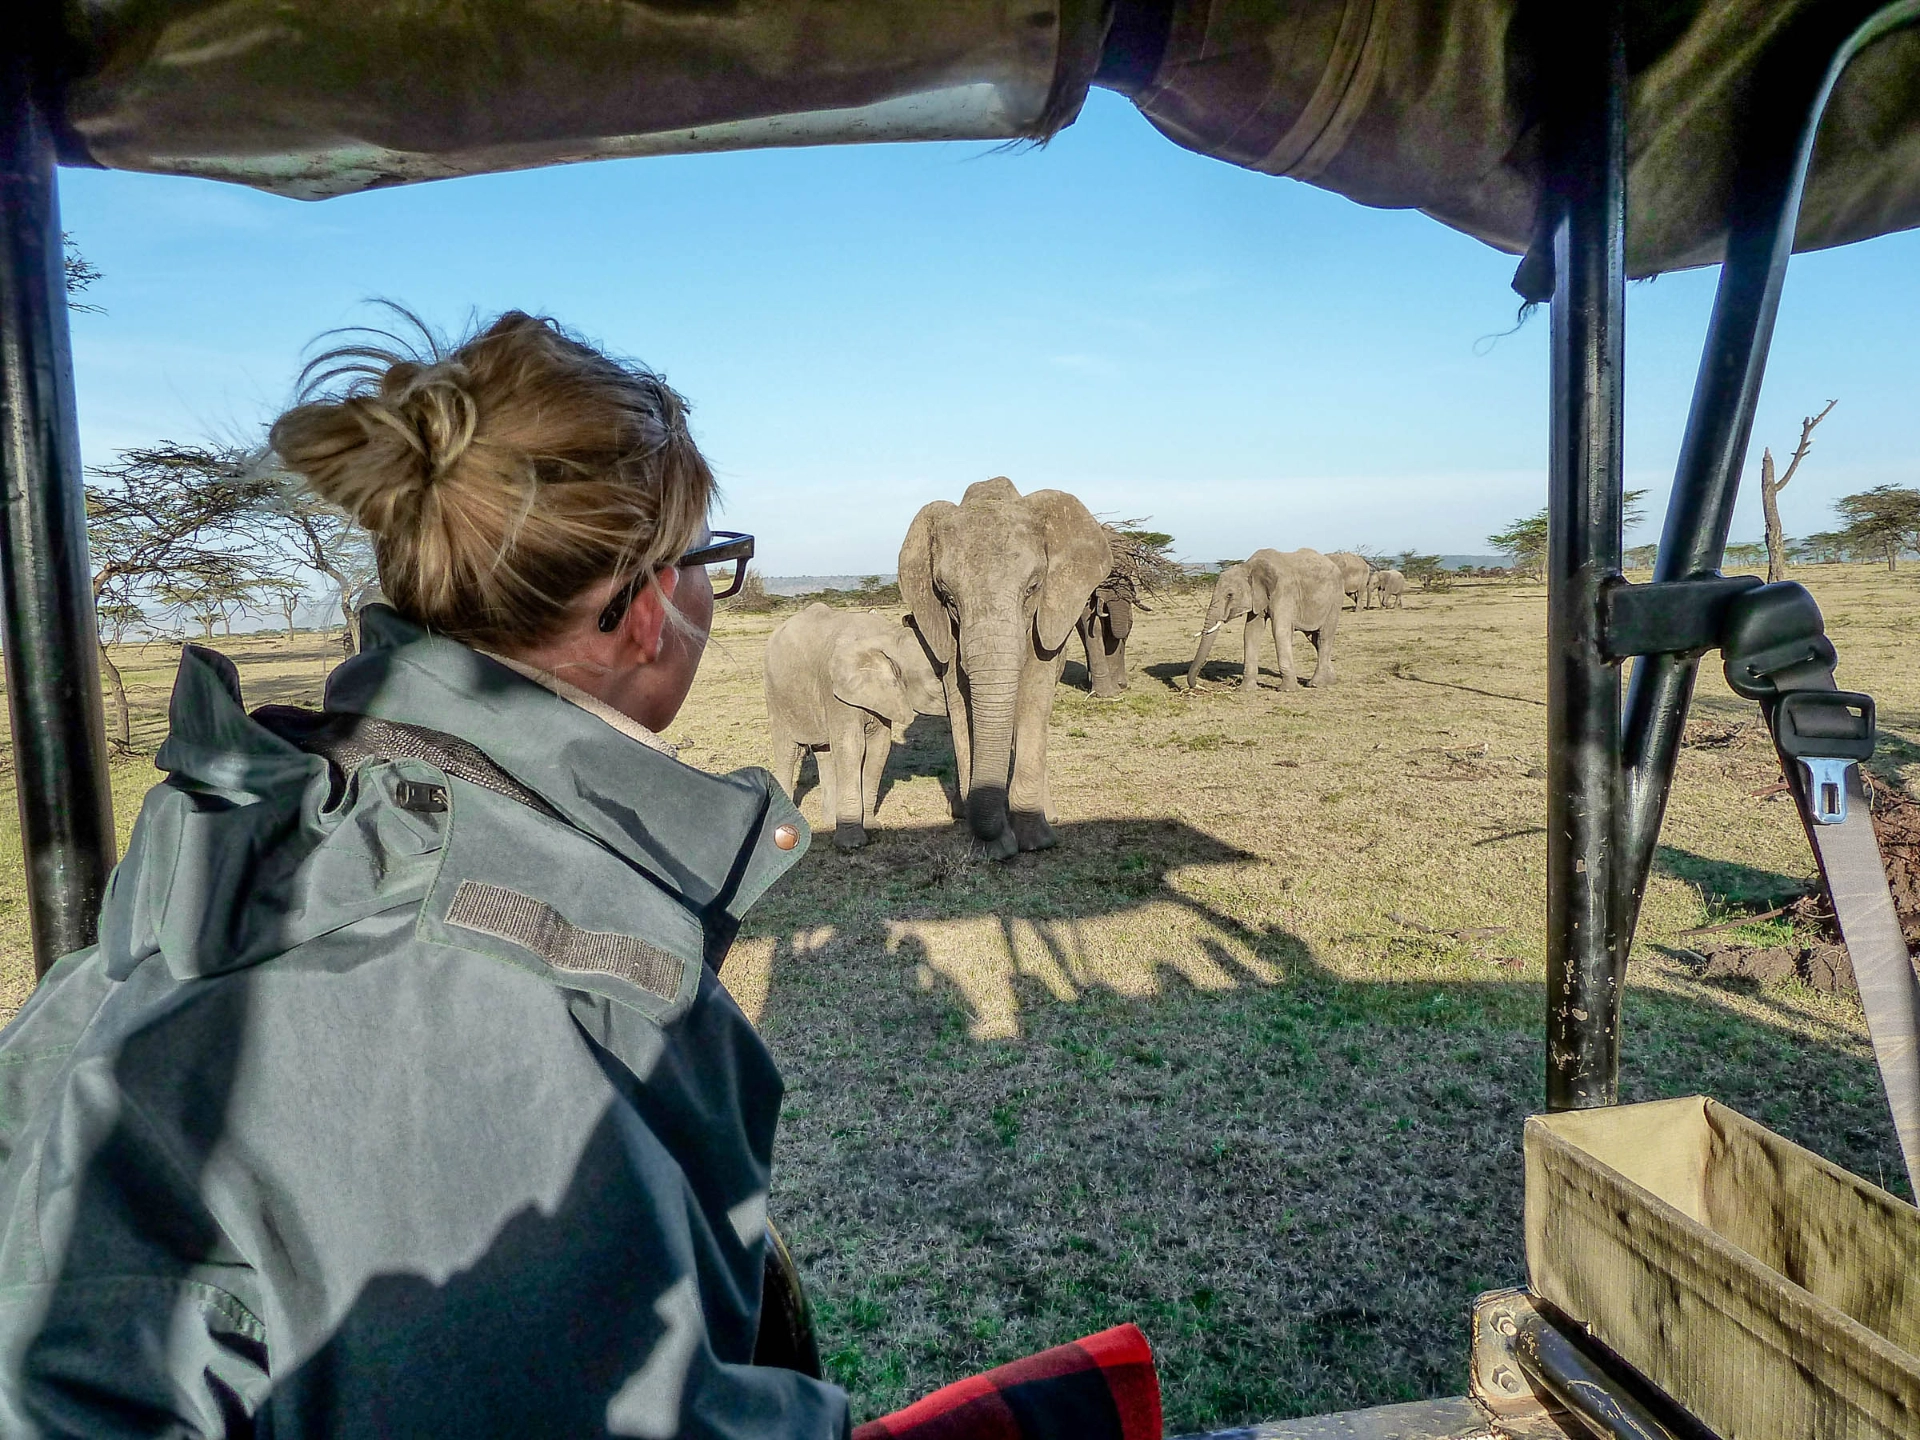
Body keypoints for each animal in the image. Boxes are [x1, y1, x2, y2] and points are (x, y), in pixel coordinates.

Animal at [764, 602, 944, 852]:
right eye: (939, 675)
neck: (889, 637)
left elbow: (879, 748)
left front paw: (871, 827)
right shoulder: (836, 690)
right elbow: (852, 747)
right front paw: (852, 845)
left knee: (825, 753)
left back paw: (830, 822)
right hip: (777, 695)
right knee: (788, 752)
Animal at [898, 476, 1113, 856]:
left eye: (1033, 587)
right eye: (947, 597)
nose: (998, 837)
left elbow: (1034, 696)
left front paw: (1035, 841)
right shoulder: (947, 633)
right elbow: (960, 702)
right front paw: (995, 846)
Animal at [1175, 545, 1344, 698]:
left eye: (1230, 595)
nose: (1198, 686)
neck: (1248, 566)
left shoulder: (1284, 590)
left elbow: (1280, 631)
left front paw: (1287, 690)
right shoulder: (1257, 597)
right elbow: (1251, 632)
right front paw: (1246, 690)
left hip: (1335, 599)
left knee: (1324, 637)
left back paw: (1316, 684)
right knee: (1314, 639)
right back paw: (1331, 680)